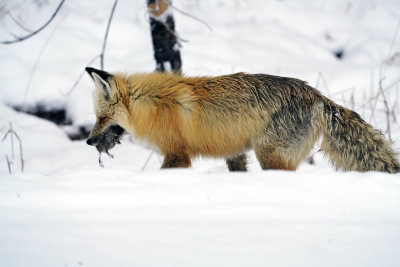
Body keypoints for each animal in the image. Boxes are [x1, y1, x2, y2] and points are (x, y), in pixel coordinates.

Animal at [85, 68, 400, 174]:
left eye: (102, 118)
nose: (88, 141)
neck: (153, 104)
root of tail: (317, 95)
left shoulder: (177, 155)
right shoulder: (234, 152)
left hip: (270, 154)